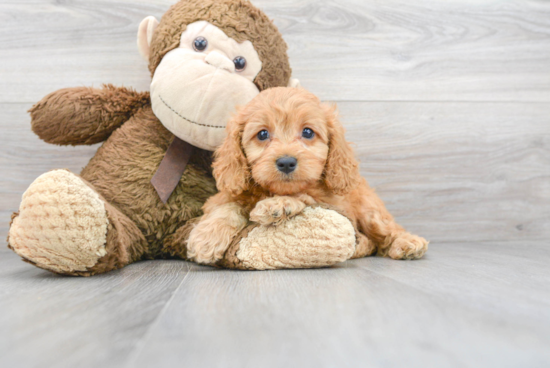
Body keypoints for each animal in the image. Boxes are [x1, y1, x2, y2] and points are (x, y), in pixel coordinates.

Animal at [188, 86, 430, 264]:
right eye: (262, 134)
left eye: (307, 132)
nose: (286, 162)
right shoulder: (224, 195)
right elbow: (228, 206)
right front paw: (206, 238)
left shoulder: (332, 203)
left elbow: (305, 195)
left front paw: (278, 204)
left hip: (369, 210)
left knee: (386, 230)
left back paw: (407, 243)